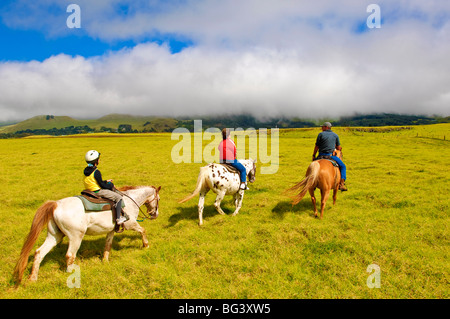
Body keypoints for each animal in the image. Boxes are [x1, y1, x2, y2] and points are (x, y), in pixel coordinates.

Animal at [13, 186, 161, 286]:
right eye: (158, 199)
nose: (155, 215)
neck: (130, 201)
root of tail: (56, 204)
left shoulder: (111, 231)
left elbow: (107, 245)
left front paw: (105, 261)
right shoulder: (131, 224)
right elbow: (143, 231)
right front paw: (146, 246)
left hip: (54, 236)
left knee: (39, 253)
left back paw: (33, 278)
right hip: (76, 237)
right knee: (70, 256)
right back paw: (71, 275)